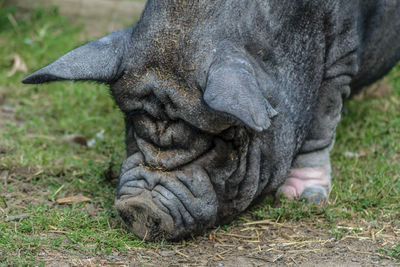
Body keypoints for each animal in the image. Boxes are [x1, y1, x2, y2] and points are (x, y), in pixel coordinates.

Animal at [22, 0, 400, 242]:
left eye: (218, 143)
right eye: (133, 125)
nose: (139, 205)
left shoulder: (341, 57)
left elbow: (321, 125)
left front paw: (301, 198)